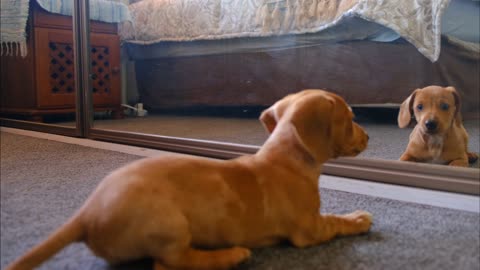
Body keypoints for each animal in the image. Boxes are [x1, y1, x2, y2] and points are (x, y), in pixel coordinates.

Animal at [6, 90, 372, 270]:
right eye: (351, 118)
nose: (369, 137)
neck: (286, 157)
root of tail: (86, 214)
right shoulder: (309, 230)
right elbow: (336, 221)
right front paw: (357, 218)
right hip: (170, 226)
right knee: (169, 264)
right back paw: (229, 256)